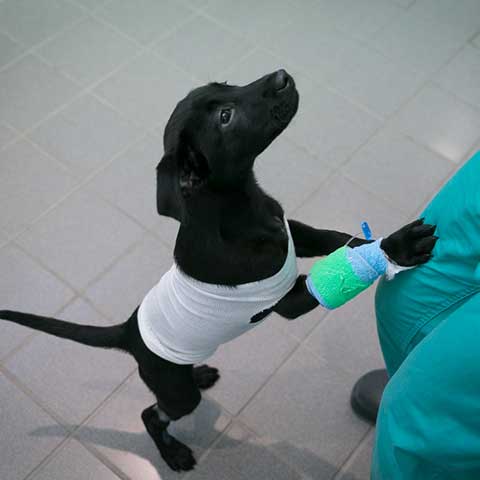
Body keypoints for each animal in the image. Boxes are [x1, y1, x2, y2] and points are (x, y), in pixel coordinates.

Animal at [0, 70, 436, 472]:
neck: (242, 208)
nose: (282, 76)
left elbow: (337, 239)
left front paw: (378, 244)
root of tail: (130, 330)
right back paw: (173, 453)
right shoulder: (284, 302)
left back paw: (201, 374)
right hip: (173, 390)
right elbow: (332, 273)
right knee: (151, 414)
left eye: (225, 86)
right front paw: (398, 248)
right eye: (226, 118)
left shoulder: (293, 233)